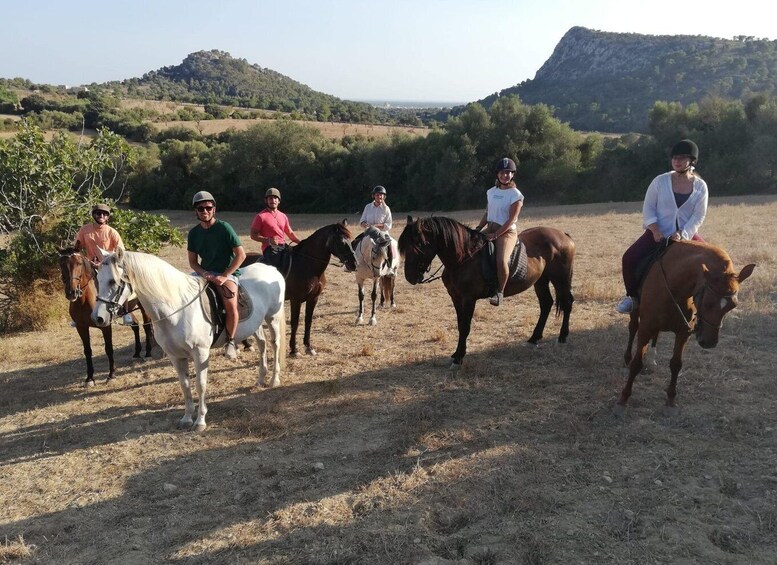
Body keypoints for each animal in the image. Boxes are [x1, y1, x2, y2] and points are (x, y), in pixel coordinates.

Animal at [57, 248, 155, 386]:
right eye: (61, 264)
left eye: (79, 263)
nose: (72, 292)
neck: (84, 300)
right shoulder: (81, 327)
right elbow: (87, 351)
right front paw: (89, 379)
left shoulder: (105, 325)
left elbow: (108, 348)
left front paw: (111, 374)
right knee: (135, 325)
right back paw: (136, 352)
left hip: (143, 306)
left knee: (146, 326)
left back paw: (148, 353)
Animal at [91, 248, 284, 432]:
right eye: (98, 279)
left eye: (113, 281)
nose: (98, 318)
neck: (176, 309)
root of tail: (271, 269)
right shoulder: (175, 356)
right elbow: (185, 385)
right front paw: (186, 418)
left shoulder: (200, 353)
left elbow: (200, 384)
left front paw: (200, 421)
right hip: (255, 324)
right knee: (262, 344)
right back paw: (260, 379)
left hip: (272, 318)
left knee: (275, 345)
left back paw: (274, 380)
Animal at [242, 221, 358, 356]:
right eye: (340, 242)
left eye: (350, 239)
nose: (354, 264)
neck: (307, 265)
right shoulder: (296, 300)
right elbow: (295, 323)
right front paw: (294, 350)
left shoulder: (313, 299)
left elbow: (308, 321)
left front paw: (308, 347)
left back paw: (246, 344)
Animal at [398, 215, 572, 366]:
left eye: (419, 244)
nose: (410, 276)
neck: (463, 258)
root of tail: (563, 235)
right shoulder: (455, 297)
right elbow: (460, 324)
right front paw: (456, 353)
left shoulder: (468, 298)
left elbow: (465, 326)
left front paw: (459, 358)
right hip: (541, 280)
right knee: (546, 304)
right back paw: (534, 338)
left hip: (560, 279)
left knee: (567, 302)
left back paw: (563, 336)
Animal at [616, 238, 756, 414]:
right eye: (707, 302)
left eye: (733, 306)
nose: (709, 343)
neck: (674, 287)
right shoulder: (645, 329)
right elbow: (636, 364)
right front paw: (624, 397)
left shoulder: (683, 333)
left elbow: (676, 364)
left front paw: (671, 398)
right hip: (636, 312)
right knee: (633, 327)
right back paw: (627, 358)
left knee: (656, 335)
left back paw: (651, 359)